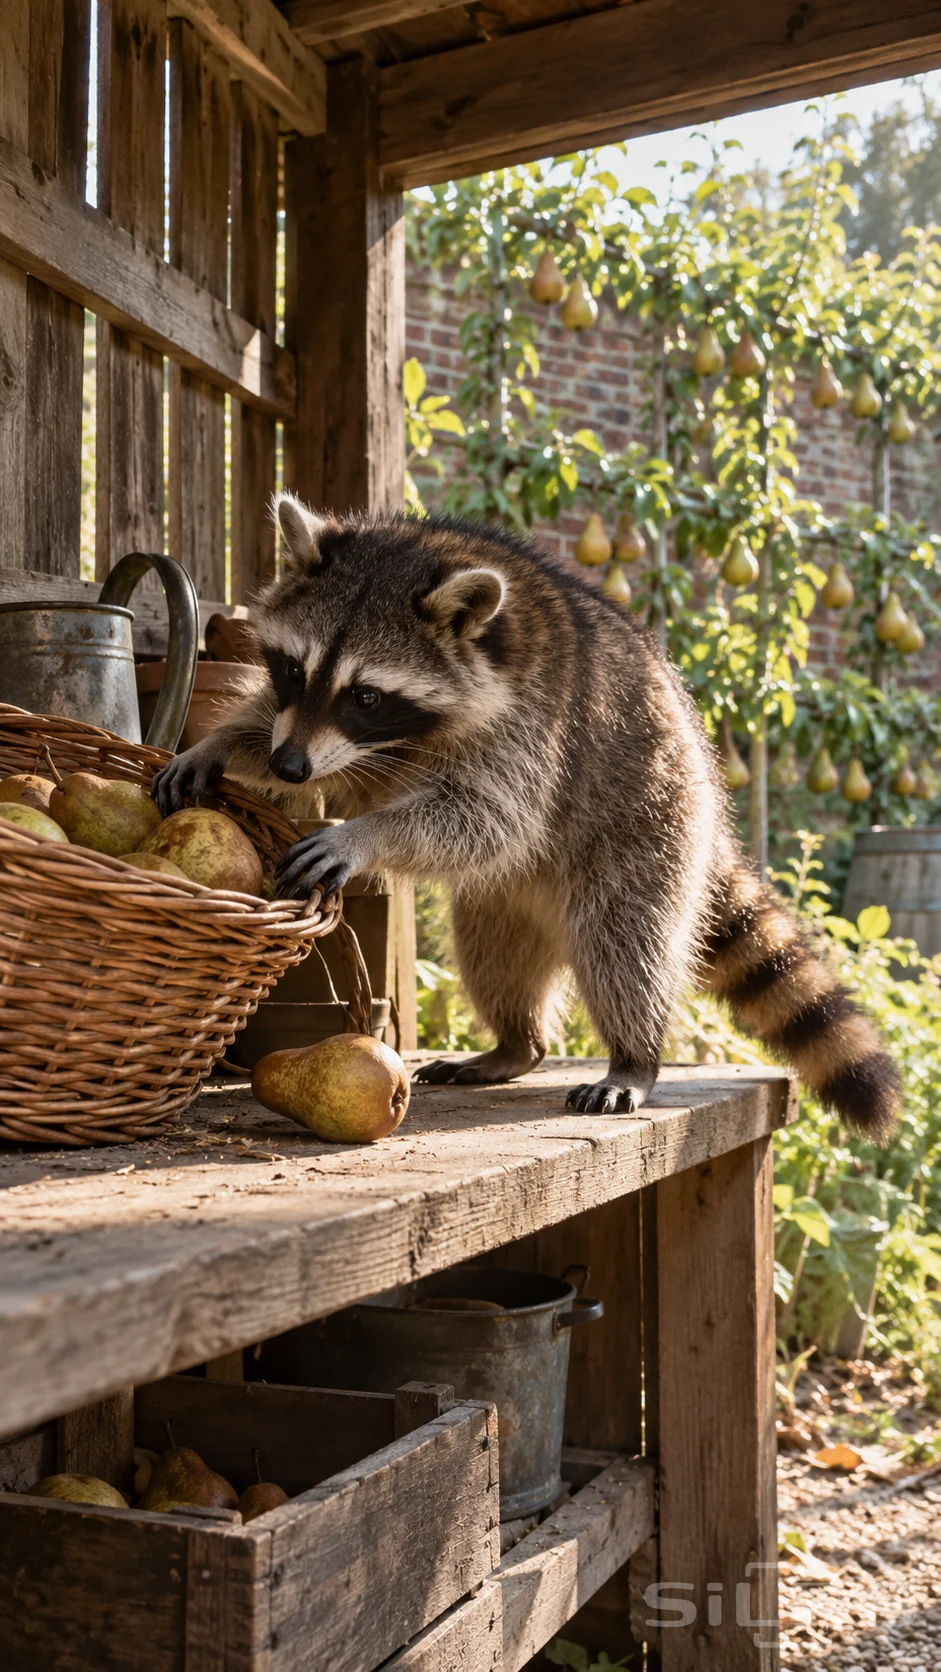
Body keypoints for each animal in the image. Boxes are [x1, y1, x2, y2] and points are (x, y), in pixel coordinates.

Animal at [153, 494, 900, 1137]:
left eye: (365, 696)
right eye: (292, 671)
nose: (290, 768)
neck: (413, 554)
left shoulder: (531, 722)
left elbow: (493, 816)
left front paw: (362, 834)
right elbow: (273, 726)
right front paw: (225, 743)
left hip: (650, 825)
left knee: (625, 943)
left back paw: (634, 1053)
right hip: (506, 899)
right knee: (494, 957)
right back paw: (517, 1041)